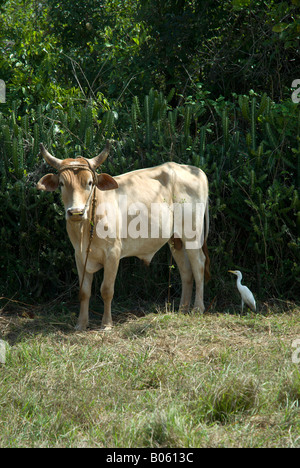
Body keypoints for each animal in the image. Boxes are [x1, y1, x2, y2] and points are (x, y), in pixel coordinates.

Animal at [36, 142, 210, 330]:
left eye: (90, 183)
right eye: (61, 184)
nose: (75, 212)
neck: (85, 228)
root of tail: (196, 171)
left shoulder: (113, 253)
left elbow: (106, 290)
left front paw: (106, 324)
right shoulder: (79, 255)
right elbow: (84, 291)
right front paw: (81, 324)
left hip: (192, 235)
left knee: (199, 265)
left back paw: (198, 308)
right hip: (175, 239)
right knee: (186, 271)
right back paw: (182, 309)